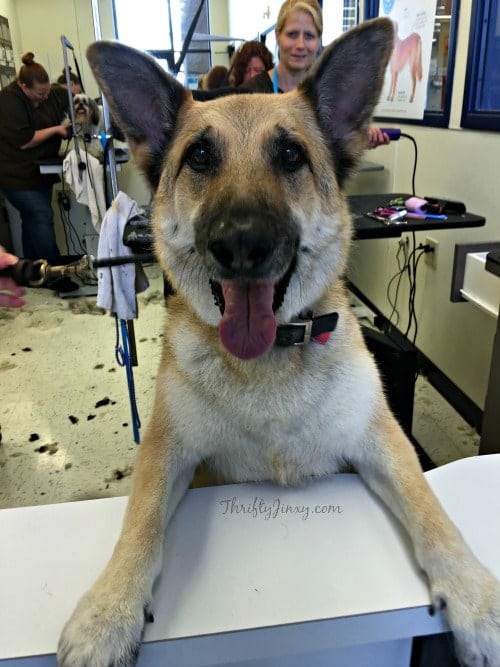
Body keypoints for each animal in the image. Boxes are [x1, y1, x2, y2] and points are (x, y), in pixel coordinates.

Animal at [56, 18, 498, 664]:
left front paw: (475, 597)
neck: (268, 363)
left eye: (291, 154)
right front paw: (106, 614)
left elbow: (430, 507)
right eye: (200, 156)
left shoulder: (385, 444)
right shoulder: (166, 454)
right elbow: (139, 520)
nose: (241, 243)